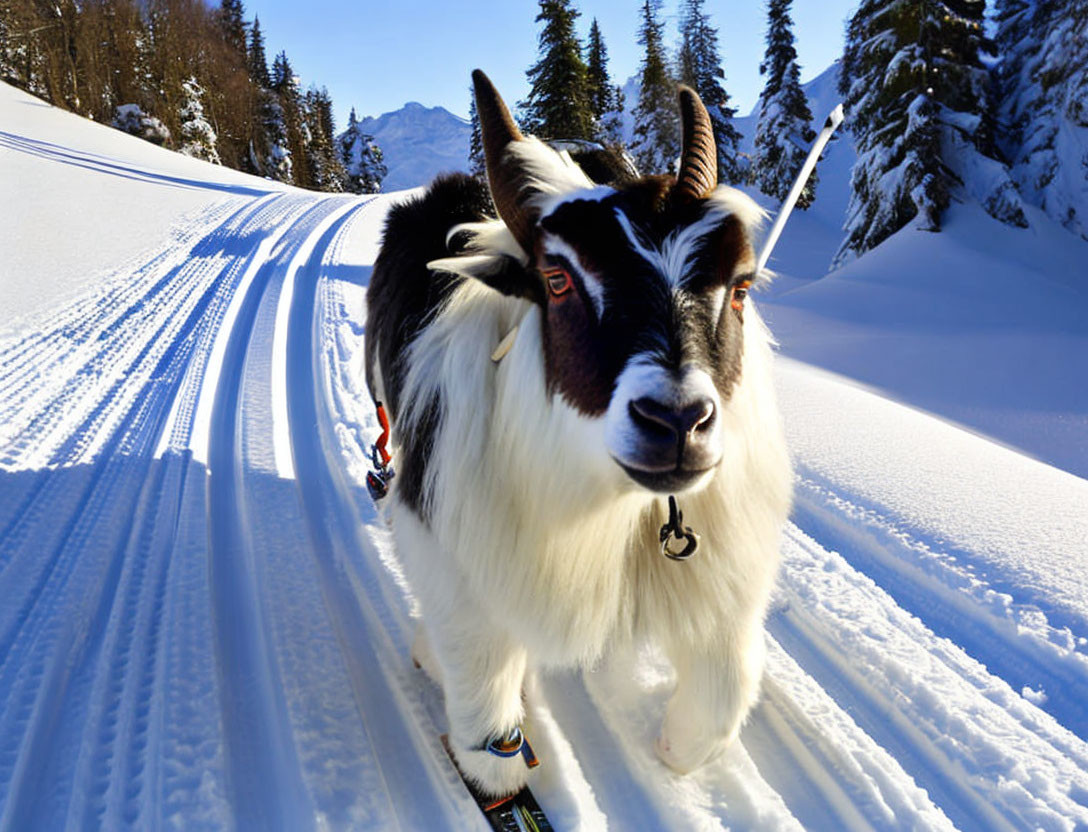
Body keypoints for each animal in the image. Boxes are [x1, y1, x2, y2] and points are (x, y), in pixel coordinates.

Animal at [365, 72, 792, 800]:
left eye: (739, 287)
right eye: (559, 279)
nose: (677, 422)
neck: (611, 502)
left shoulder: (719, 573)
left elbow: (712, 712)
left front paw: (671, 745)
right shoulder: (459, 553)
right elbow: (490, 741)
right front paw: (444, 672)